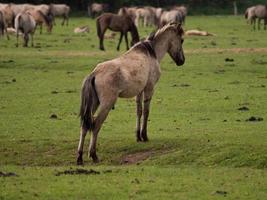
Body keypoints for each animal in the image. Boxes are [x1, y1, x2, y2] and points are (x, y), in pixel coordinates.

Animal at [76, 22, 185, 165]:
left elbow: (139, 112)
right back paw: (93, 155)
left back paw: (79, 157)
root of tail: (94, 74)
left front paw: (138, 136)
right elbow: (146, 112)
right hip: (106, 105)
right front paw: (144, 135)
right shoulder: (149, 88)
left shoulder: (139, 92)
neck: (151, 52)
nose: (182, 61)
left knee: (84, 126)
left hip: (93, 104)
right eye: (182, 40)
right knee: (95, 125)